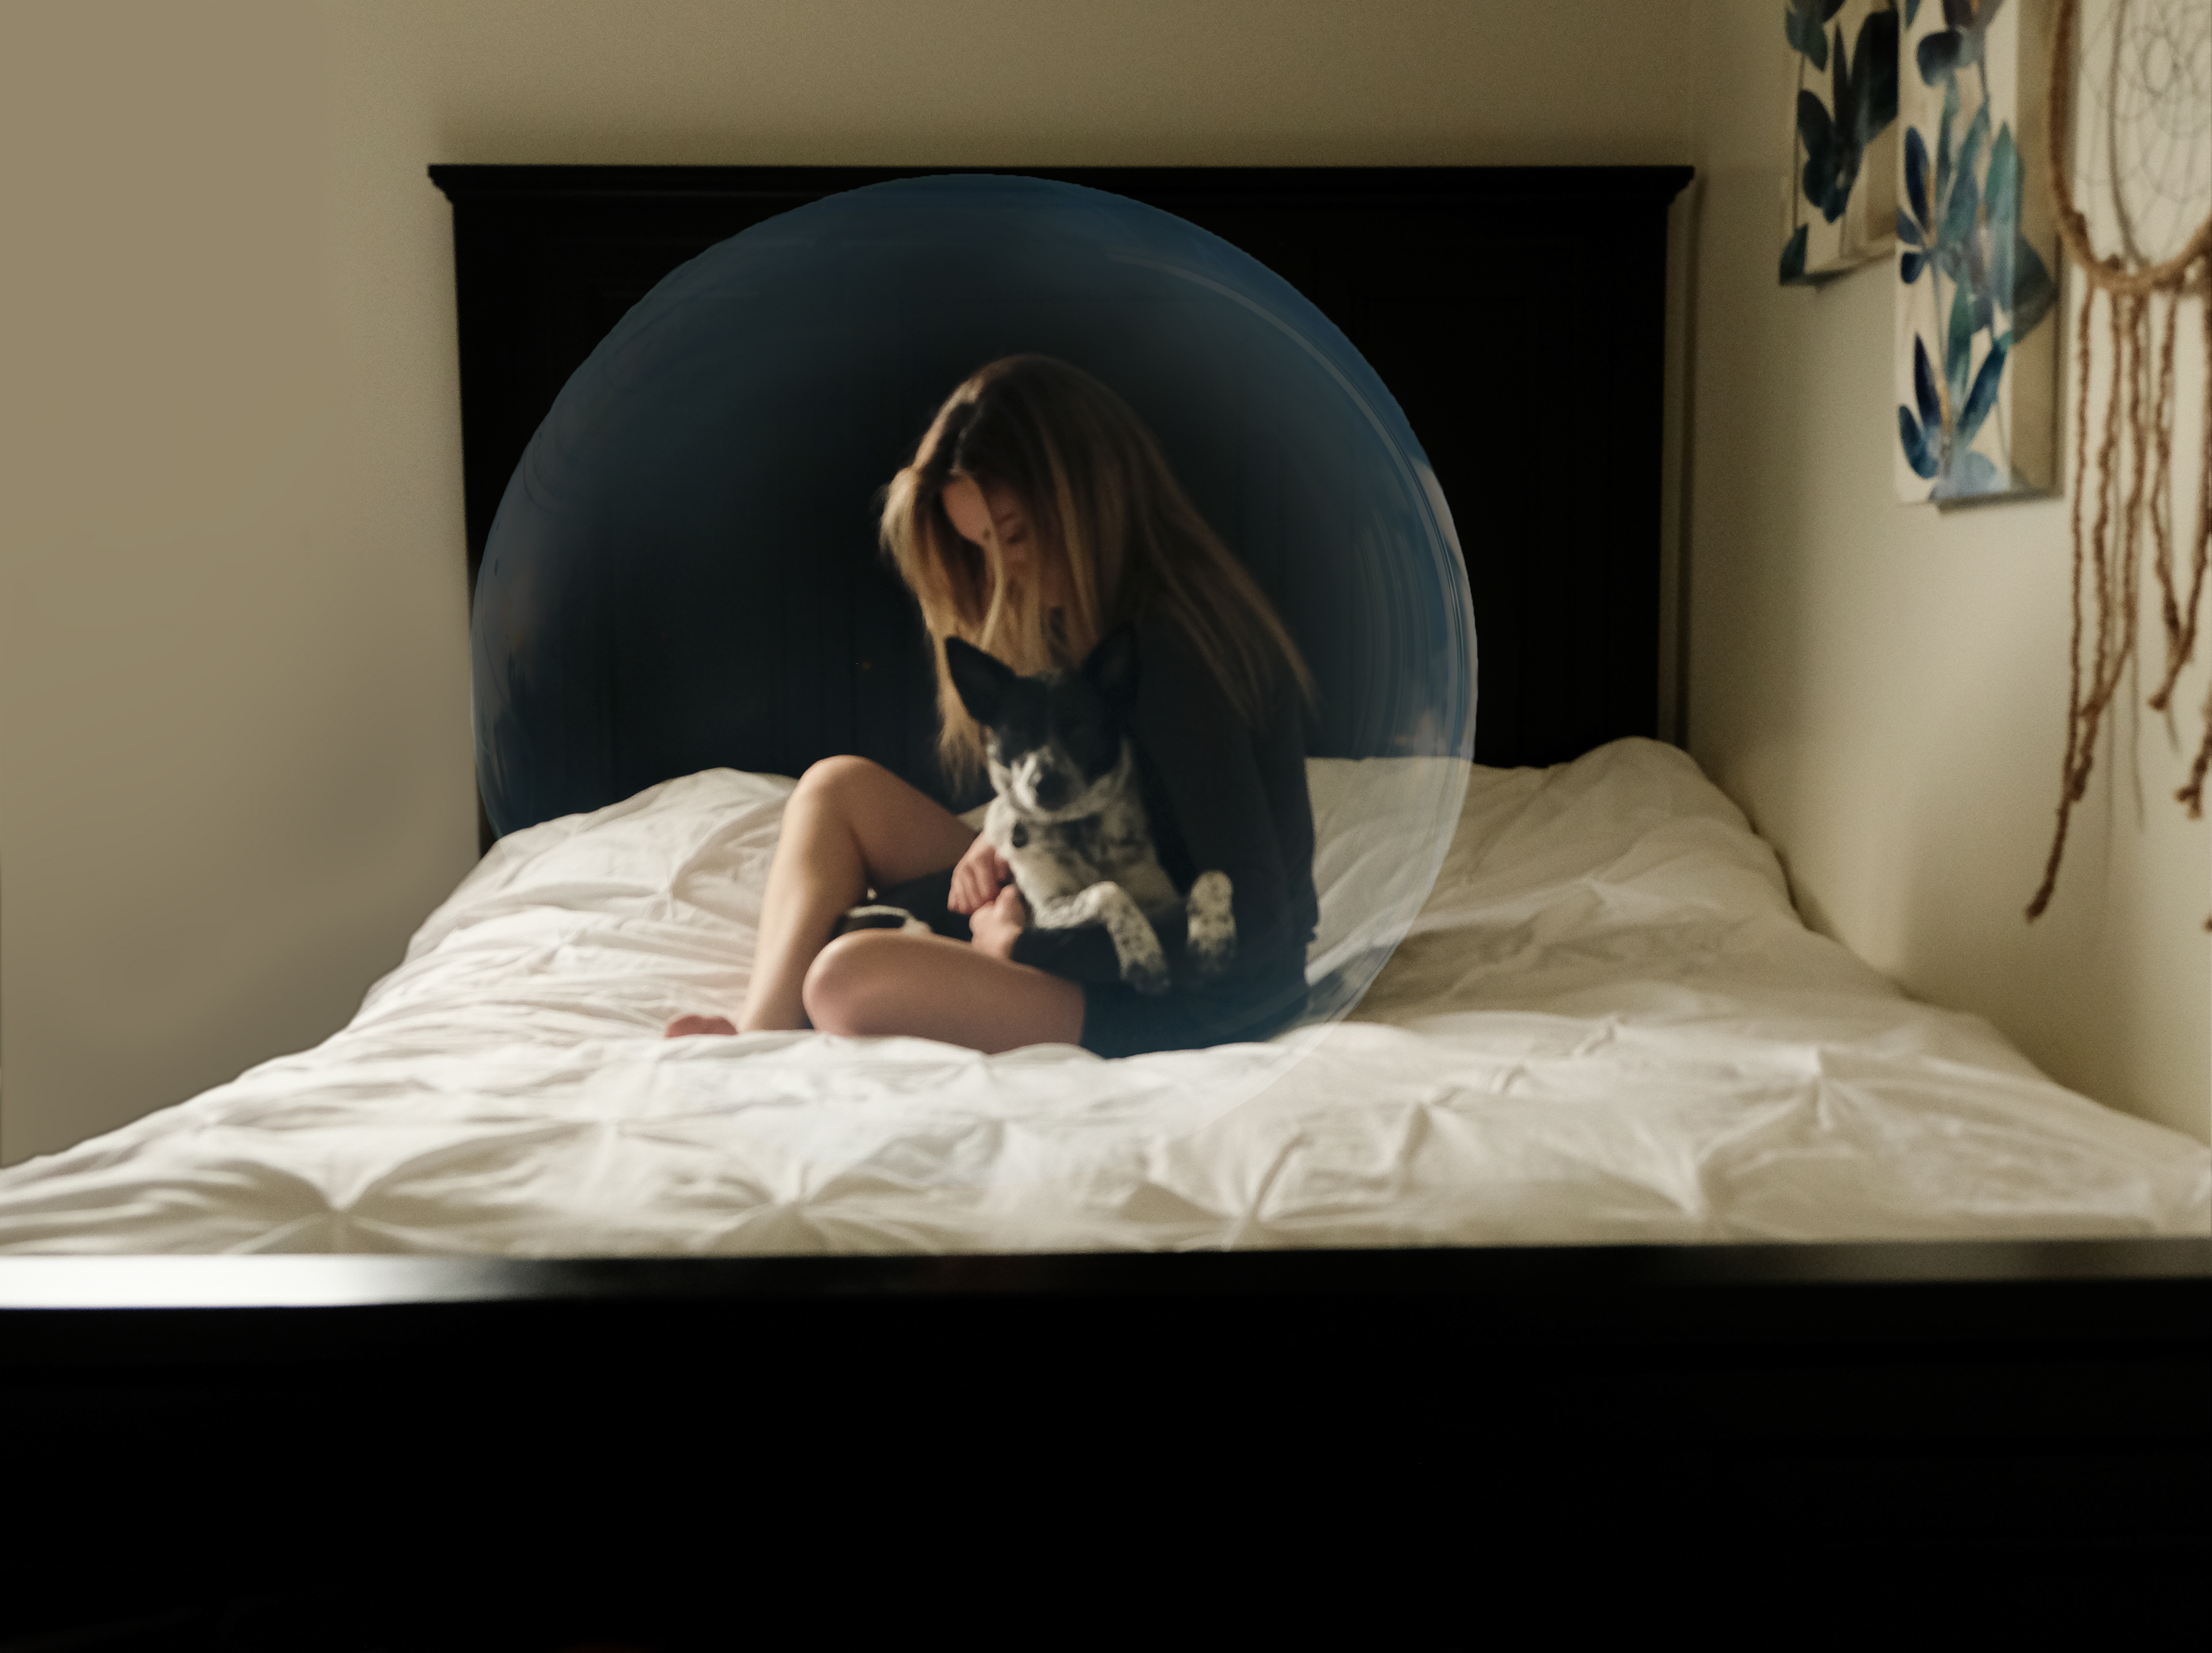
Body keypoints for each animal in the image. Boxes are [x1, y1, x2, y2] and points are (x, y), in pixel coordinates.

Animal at [836, 627, 1234, 995]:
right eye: (1017, 733)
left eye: (1081, 728)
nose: (1045, 783)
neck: (1077, 830)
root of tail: (847, 914)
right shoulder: (1046, 912)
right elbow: (1106, 891)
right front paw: (1142, 955)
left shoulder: (1166, 897)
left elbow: (1214, 876)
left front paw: (1213, 940)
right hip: (914, 930)